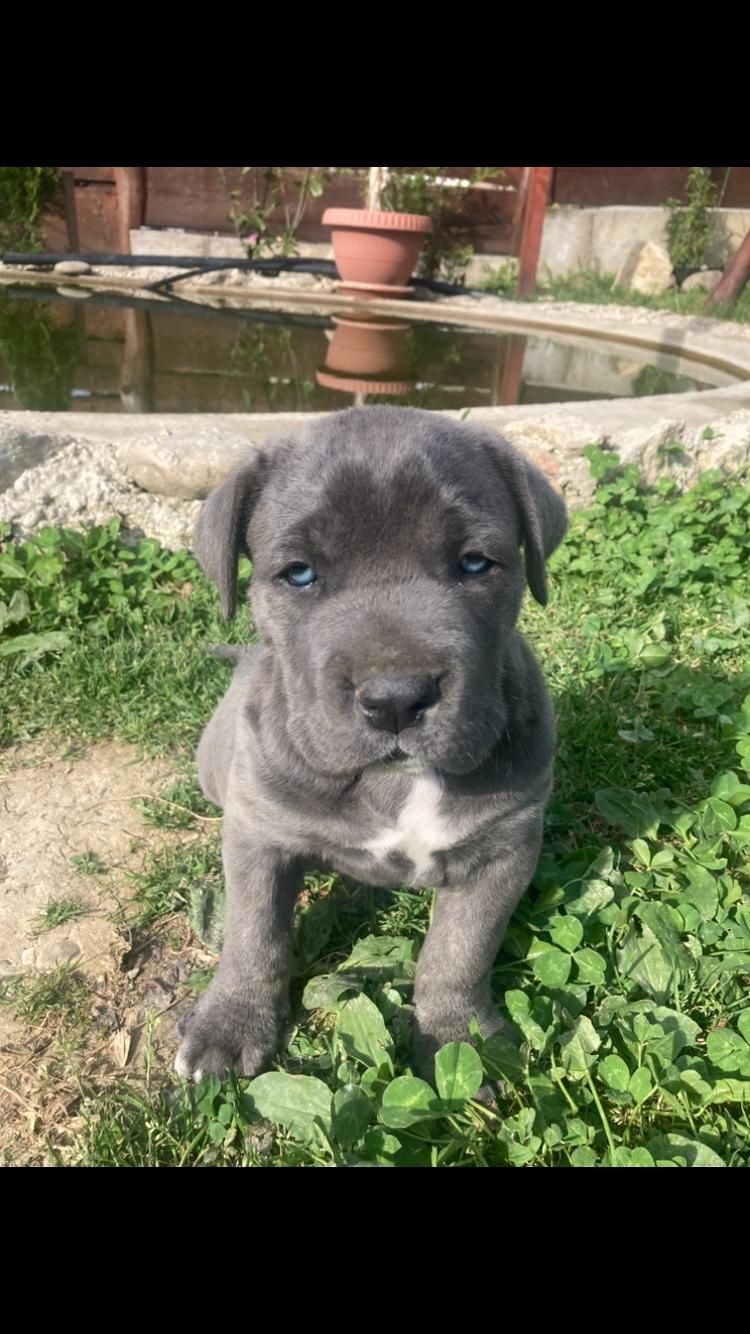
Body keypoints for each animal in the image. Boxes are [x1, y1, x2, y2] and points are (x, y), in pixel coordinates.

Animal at [173, 402, 560, 1083]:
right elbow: (252, 933)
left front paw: (459, 1040)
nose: (396, 698)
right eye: (299, 574)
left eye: (475, 563)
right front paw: (229, 1022)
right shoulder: (259, 836)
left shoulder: (504, 850)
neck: (393, 784)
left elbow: (459, 952)